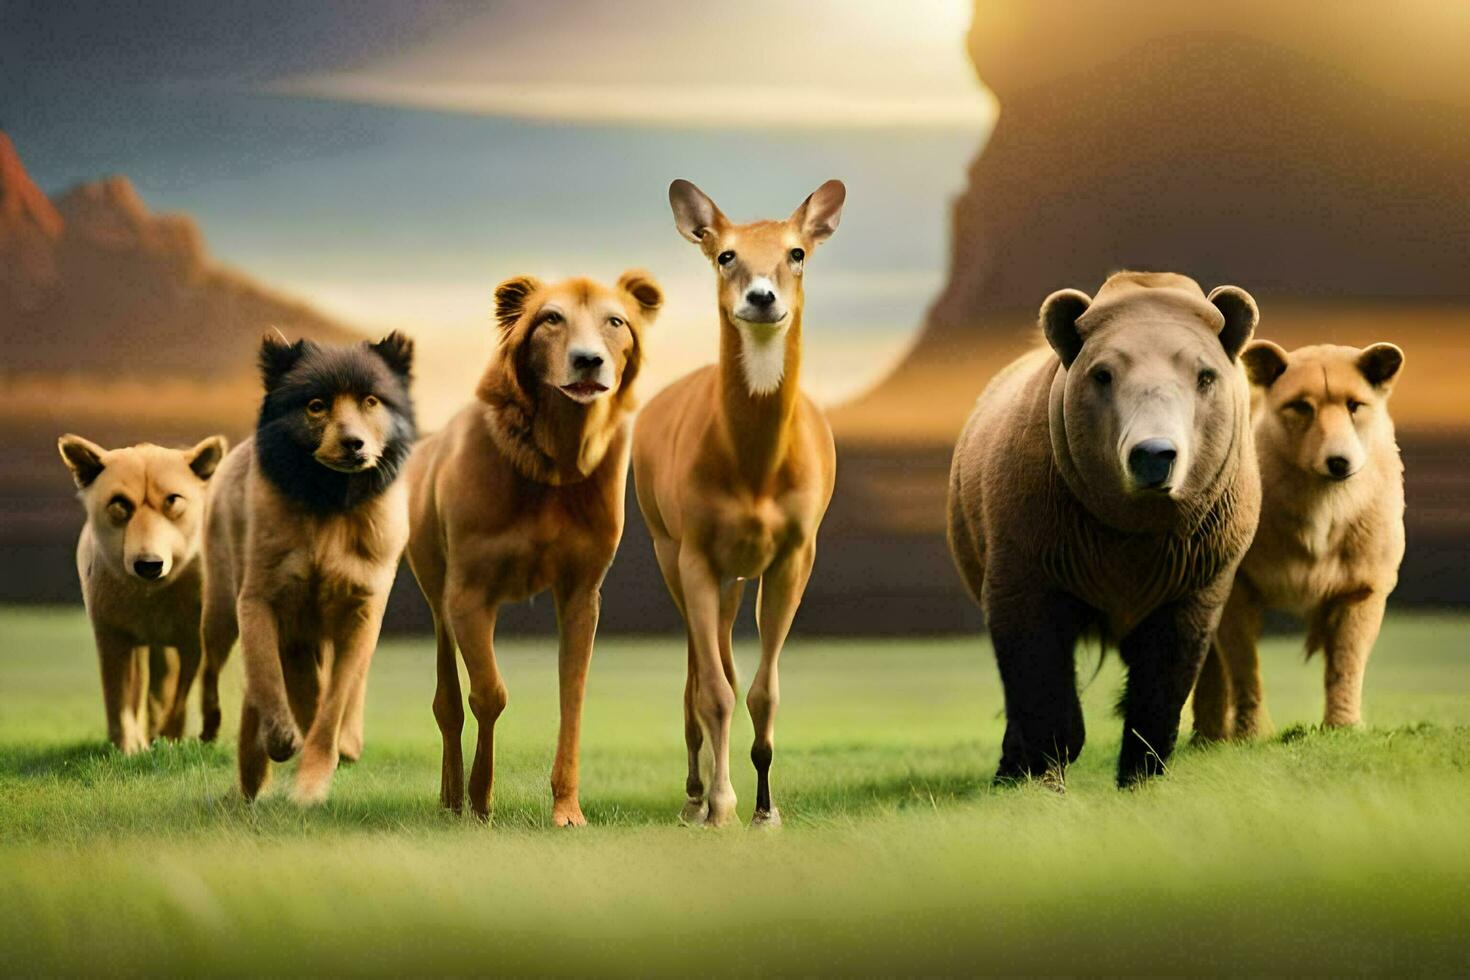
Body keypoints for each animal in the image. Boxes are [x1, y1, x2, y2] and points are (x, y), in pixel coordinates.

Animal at [59, 434, 229, 752]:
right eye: (119, 503)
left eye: (173, 500)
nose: (149, 564)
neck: (151, 600)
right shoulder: (113, 638)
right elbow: (119, 700)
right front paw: (128, 750)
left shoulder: (192, 642)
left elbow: (180, 698)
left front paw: (170, 741)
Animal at [198, 333, 417, 799]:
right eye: (316, 405)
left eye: (371, 401)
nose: (354, 443)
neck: (329, 506)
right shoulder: (260, 601)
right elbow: (266, 677)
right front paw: (281, 741)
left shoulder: (361, 611)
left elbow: (333, 702)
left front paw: (313, 781)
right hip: (221, 613)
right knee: (215, 673)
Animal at [629, 178, 840, 828]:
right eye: (726, 254)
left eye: (797, 252)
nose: (762, 296)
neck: (754, 472)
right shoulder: (696, 551)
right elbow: (716, 692)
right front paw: (720, 805)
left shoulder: (795, 552)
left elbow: (762, 690)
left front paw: (766, 811)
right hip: (668, 548)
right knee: (699, 673)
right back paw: (693, 796)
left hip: (737, 576)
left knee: (723, 662)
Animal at [952, 270, 1264, 787]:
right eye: (1103, 374)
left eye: (1204, 375)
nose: (1154, 454)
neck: (1129, 525)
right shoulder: (1042, 540)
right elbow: (1033, 660)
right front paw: (1040, 766)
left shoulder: (1196, 560)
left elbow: (1167, 668)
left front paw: (1142, 769)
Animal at [1193, 343, 1411, 734]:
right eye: (1299, 406)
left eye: (1356, 404)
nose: (1339, 461)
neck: (1323, 508)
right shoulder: (1236, 585)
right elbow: (1243, 665)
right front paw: (1251, 734)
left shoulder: (1362, 587)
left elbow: (1346, 664)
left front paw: (1343, 727)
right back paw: (1208, 737)